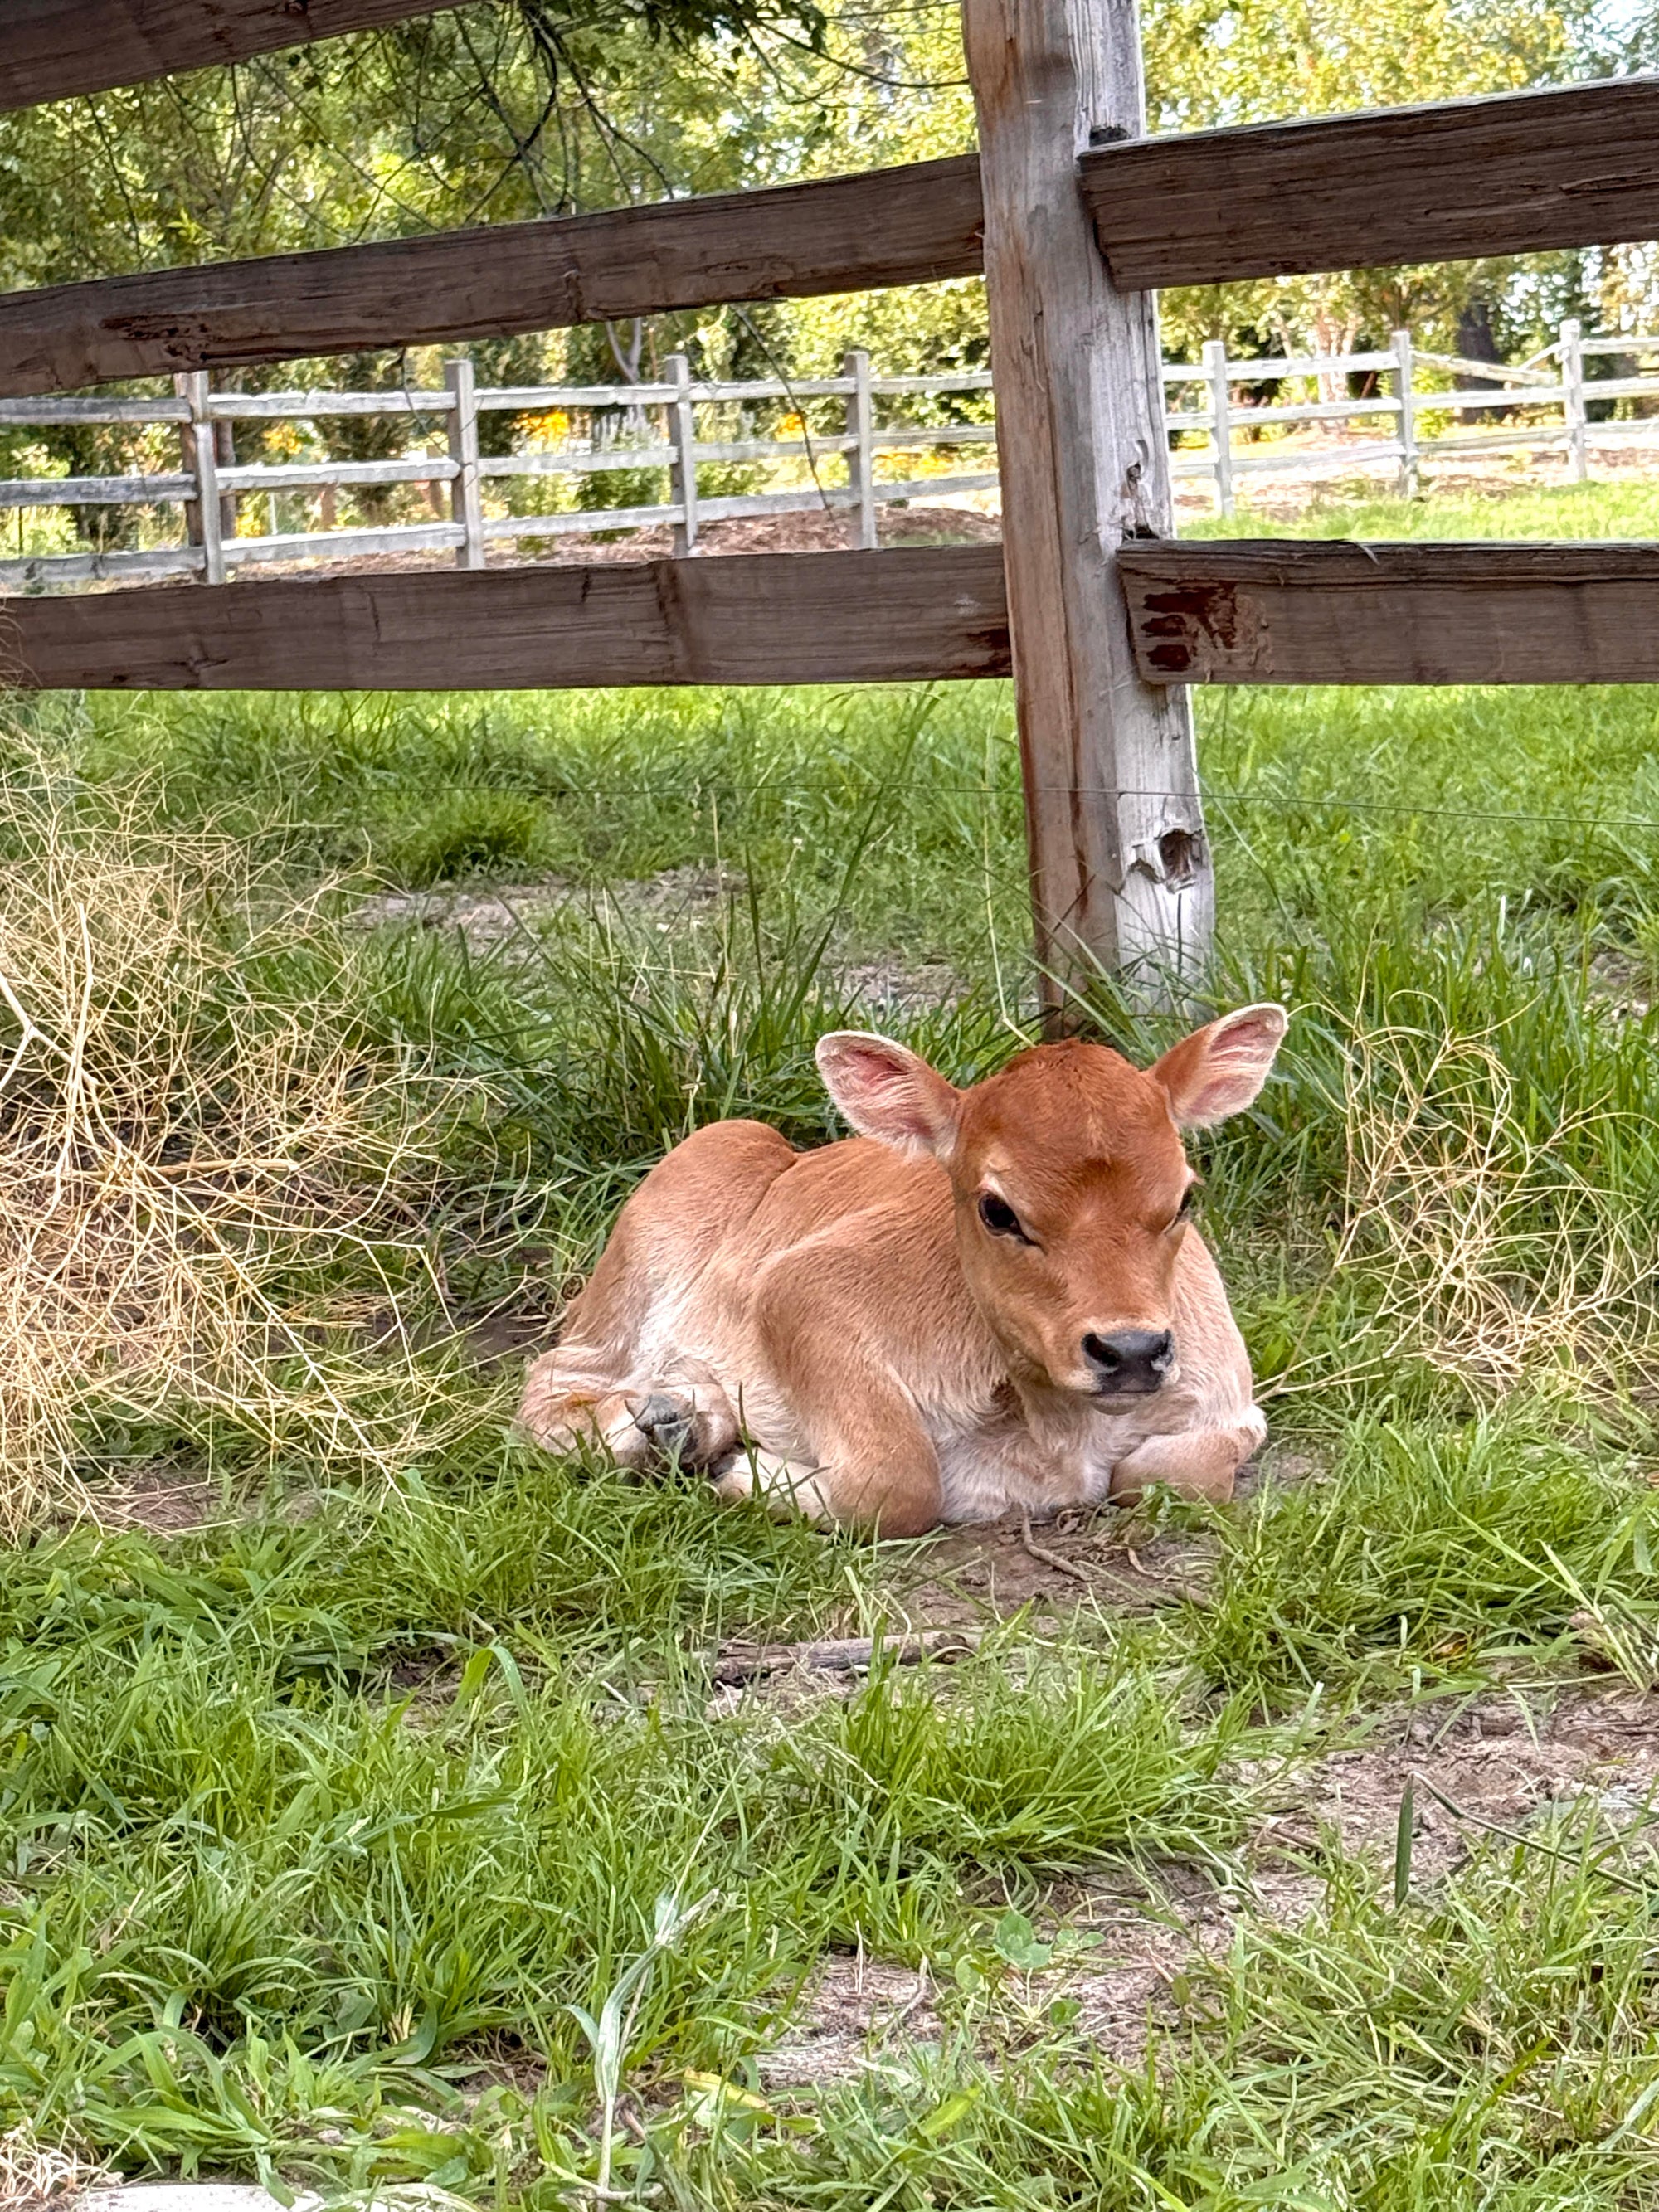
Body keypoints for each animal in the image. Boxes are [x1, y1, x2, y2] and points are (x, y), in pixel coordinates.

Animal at [518, 1003, 1287, 1533]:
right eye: (997, 1210)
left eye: (1185, 1195)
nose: (1130, 1349)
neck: (1058, 1429)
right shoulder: (800, 1287)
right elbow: (900, 1480)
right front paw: (748, 1474)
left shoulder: (1231, 1398)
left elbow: (1172, 1475)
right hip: (659, 1232)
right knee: (547, 1384)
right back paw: (647, 1428)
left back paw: (685, 1417)